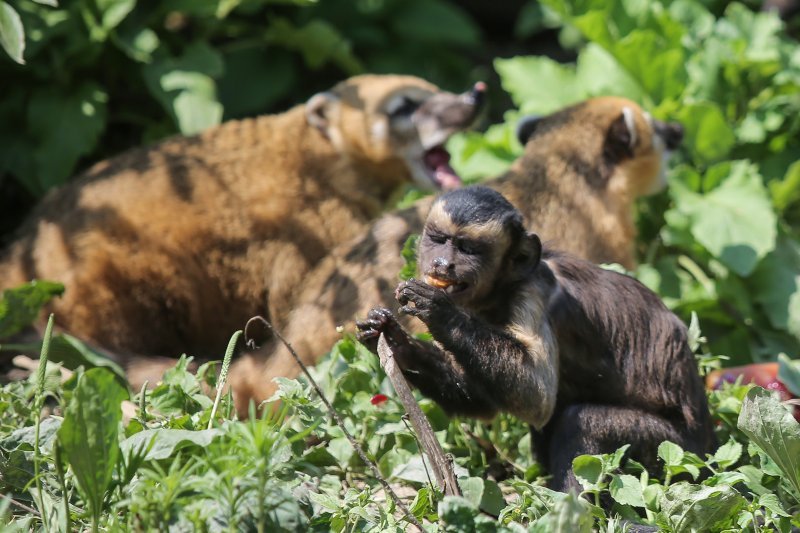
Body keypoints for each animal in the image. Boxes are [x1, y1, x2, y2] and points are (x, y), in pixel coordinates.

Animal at [356, 186, 712, 490]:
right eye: (439, 239)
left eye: (468, 249)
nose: (442, 263)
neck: (501, 290)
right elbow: (484, 400)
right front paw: (394, 341)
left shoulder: (534, 292)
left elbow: (536, 397)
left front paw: (435, 309)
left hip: (678, 451)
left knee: (583, 420)